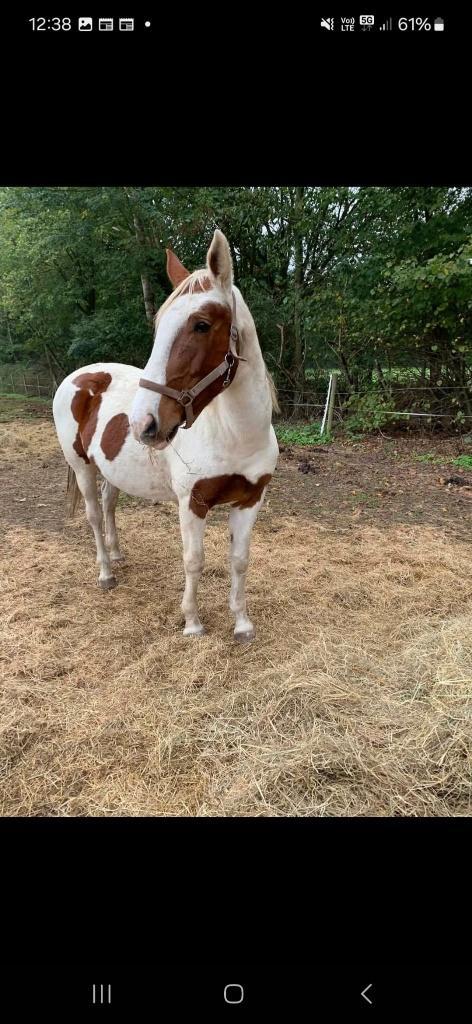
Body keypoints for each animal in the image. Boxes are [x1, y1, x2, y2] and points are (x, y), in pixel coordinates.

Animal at [53, 229, 279, 641]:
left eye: (201, 324)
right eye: (159, 328)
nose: (144, 423)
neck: (236, 436)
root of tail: (81, 375)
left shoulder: (250, 499)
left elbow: (239, 560)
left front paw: (241, 623)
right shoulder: (193, 502)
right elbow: (194, 560)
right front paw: (192, 623)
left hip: (112, 469)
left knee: (109, 505)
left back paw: (118, 554)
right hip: (81, 467)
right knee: (93, 514)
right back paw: (106, 572)